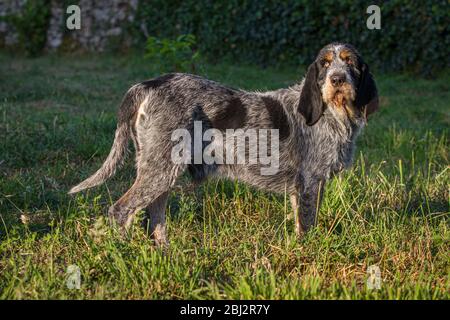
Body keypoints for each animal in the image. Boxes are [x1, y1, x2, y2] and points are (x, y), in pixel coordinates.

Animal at [69, 40, 380, 245]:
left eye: (349, 62)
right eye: (325, 64)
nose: (337, 79)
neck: (334, 113)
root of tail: (149, 84)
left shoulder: (303, 187)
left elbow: (299, 222)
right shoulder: (310, 182)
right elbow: (307, 225)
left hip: (160, 171)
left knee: (154, 216)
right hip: (159, 171)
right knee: (121, 210)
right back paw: (123, 253)